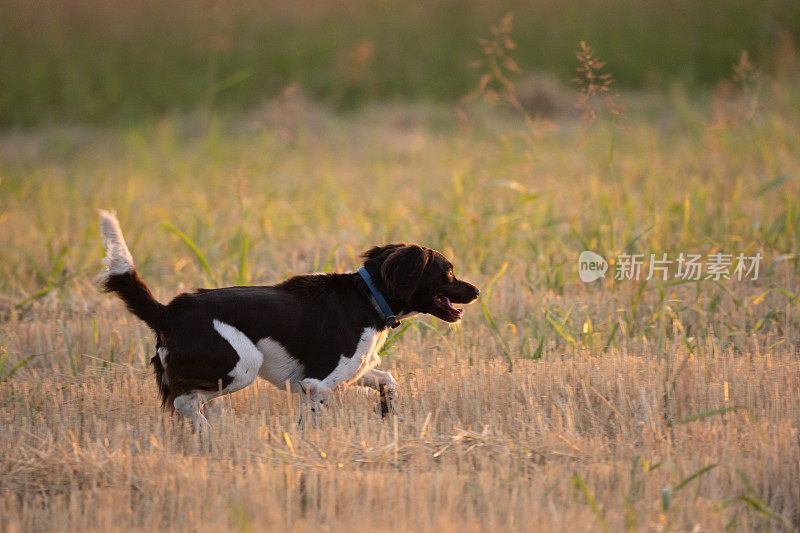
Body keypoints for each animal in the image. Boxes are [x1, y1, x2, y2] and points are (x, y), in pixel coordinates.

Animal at [97, 211, 478, 428]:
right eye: (448, 272)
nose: (476, 290)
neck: (369, 297)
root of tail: (169, 310)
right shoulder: (317, 383)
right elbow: (311, 424)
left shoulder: (351, 371)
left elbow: (388, 380)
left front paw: (386, 414)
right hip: (243, 364)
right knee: (184, 402)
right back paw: (208, 435)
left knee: (187, 404)